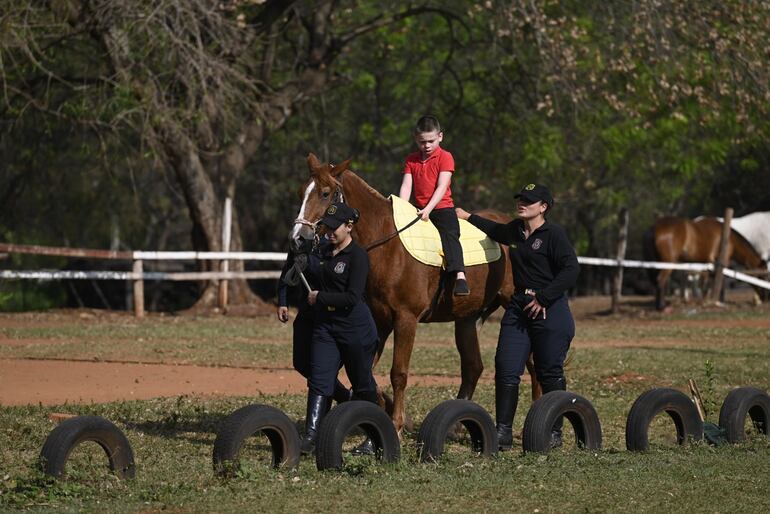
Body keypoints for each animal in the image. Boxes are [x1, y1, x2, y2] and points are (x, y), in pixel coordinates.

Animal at [288, 153, 536, 432]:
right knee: (473, 366)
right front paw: (379, 406)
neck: (388, 245)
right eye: (301, 192)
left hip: (516, 305)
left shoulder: (406, 319)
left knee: (533, 365)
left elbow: (398, 372)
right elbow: (365, 371)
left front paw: (396, 422)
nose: (298, 238)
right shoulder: (380, 320)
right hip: (467, 318)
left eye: (325, 193)